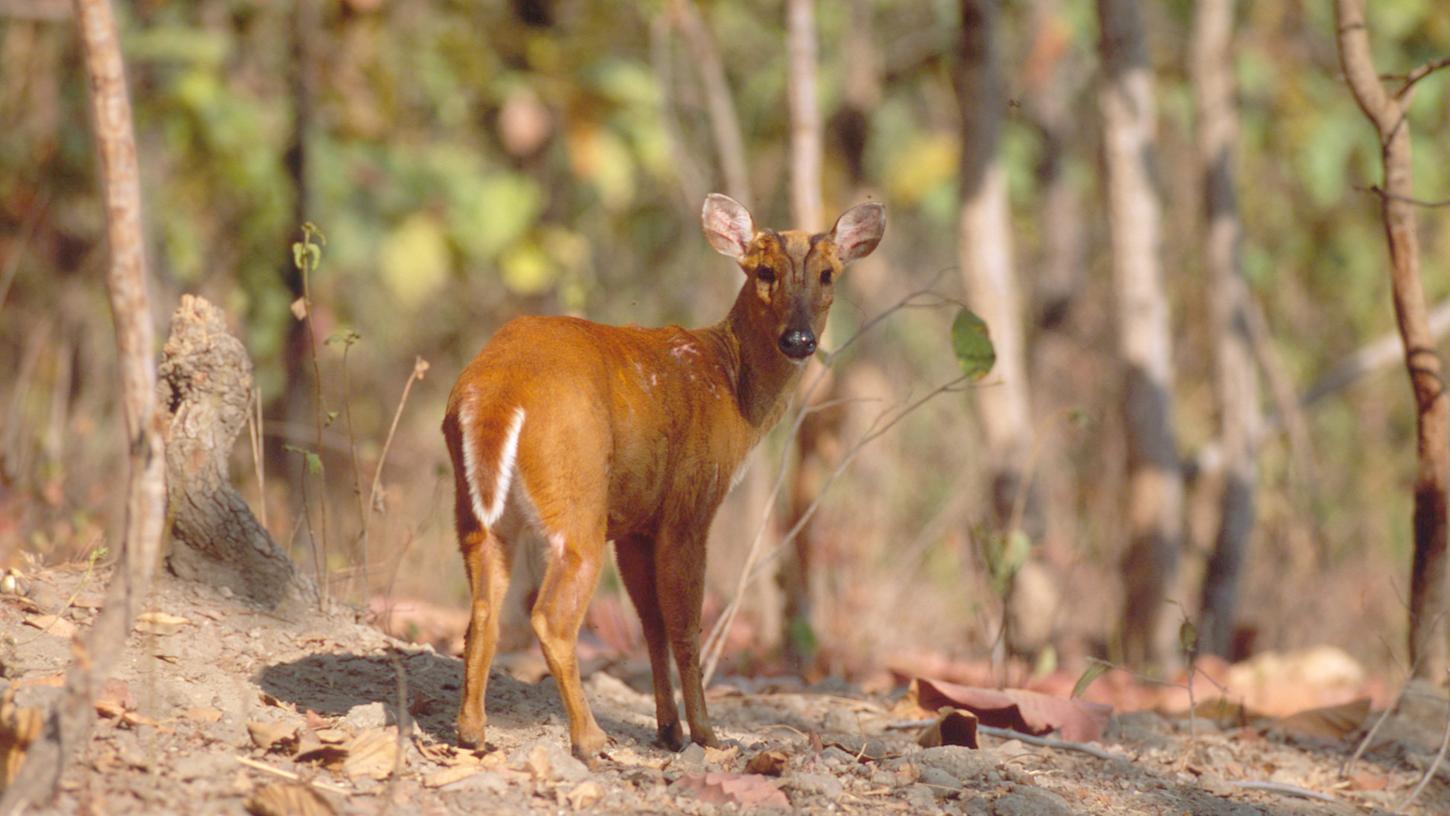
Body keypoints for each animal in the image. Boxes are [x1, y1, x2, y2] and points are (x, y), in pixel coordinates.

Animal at [440, 194, 881, 765]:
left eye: (828, 274)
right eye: (765, 271)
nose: (800, 340)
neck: (732, 389)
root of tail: (497, 392)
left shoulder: (634, 520)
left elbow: (650, 621)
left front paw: (669, 730)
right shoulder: (690, 504)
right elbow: (685, 625)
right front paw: (706, 734)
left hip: (479, 514)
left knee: (481, 610)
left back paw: (473, 732)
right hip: (577, 498)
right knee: (551, 619)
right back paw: (590, 739)